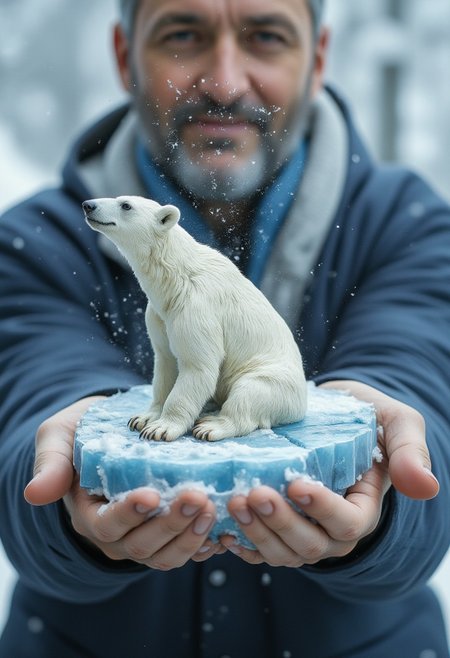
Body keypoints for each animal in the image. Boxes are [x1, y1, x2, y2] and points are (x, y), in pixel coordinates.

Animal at [82, 195, 307, 442]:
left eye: (125, 205)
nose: (88, 205)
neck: (175, 278)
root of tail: (302, 404)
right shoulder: (159, 314)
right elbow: (165, 363)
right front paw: (143, 418)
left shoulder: (197, 308)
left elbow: (198, 366)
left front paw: (161, 428)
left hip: (275, 379)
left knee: (250, 391)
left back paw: (212, 424)